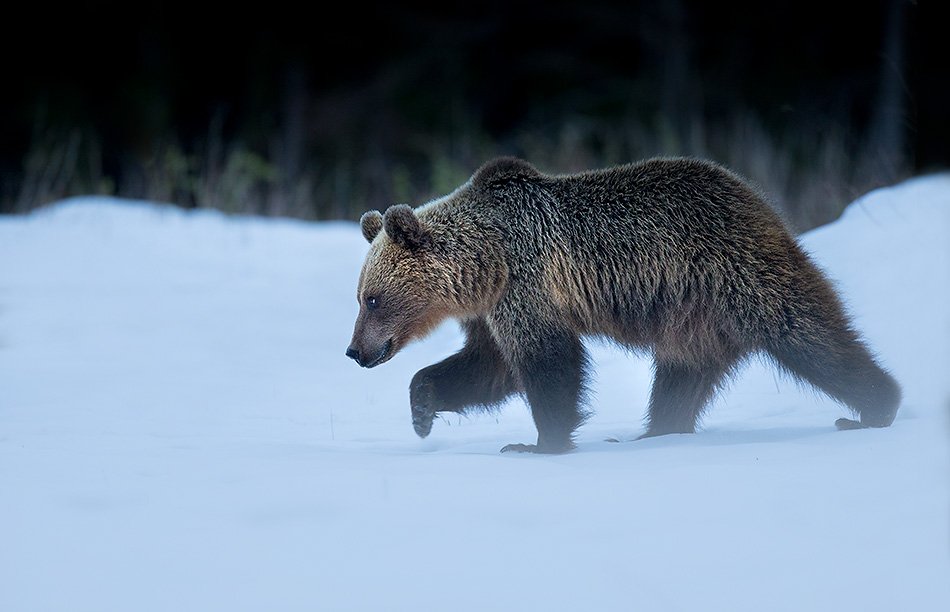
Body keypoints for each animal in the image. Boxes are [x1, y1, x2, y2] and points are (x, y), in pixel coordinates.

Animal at [346, 156, 901, 453]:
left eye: (373, 298)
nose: (355, 351)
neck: (487, 263)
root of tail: (761, 202)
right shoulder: (492, 311)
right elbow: (489, 367)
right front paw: (422, 408)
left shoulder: (528, 283)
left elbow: (548, 361)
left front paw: (536, 443)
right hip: (692, 320)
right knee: (680, 378)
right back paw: (656, 432)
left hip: (736, 276)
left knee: (809, 334)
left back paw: (875, 407)